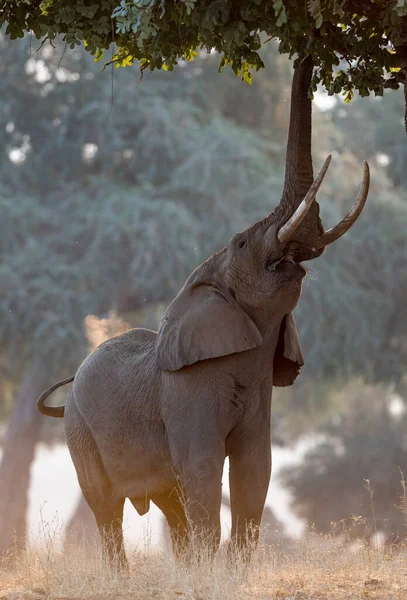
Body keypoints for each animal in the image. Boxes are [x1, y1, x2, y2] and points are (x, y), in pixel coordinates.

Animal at [37, 57, 370, 572]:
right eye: (242, 244)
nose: (302, 58)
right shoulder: (187, 389)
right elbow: (203, 464)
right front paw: (215, 573)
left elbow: (255, 465)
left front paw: (231, 573)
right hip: (80, 430)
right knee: (105, 505)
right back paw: (123, 578)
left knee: (168, 501)